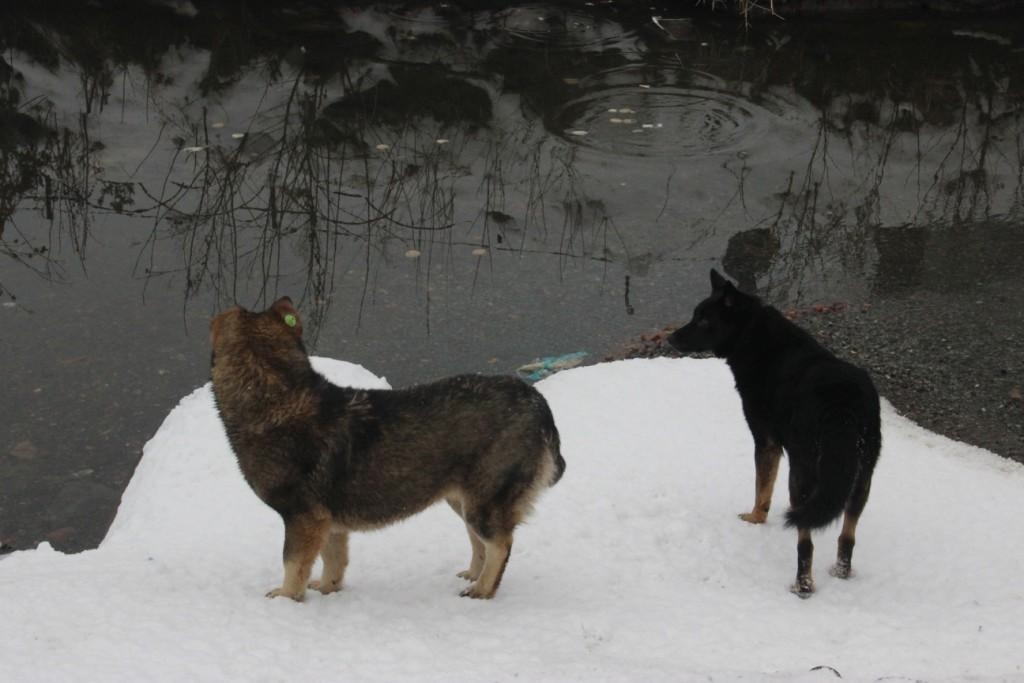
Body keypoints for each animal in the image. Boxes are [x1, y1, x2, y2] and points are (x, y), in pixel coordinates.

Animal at [204, 296, 565, 602]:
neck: (277, 396)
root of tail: (537, 403)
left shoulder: (302, 518)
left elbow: (293, 566)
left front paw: (285, 599)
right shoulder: (327, 522)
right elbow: (333, 563)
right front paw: (328, 592)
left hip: (485, 502)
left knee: (500, 544)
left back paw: (483, 590)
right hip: (463, 500)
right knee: (480, 543)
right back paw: (473, 576)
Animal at [671, 270, 880, 593]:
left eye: (704, 321)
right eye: (695, 315)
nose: (670, 338)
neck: (752, 335)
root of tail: (842, 403)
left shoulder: (766, 442)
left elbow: (762, 489)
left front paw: (754, 519)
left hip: (803, 474)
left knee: (806, 542)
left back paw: (802, 586)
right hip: (860, 476)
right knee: (847, 536)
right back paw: (840, 572)